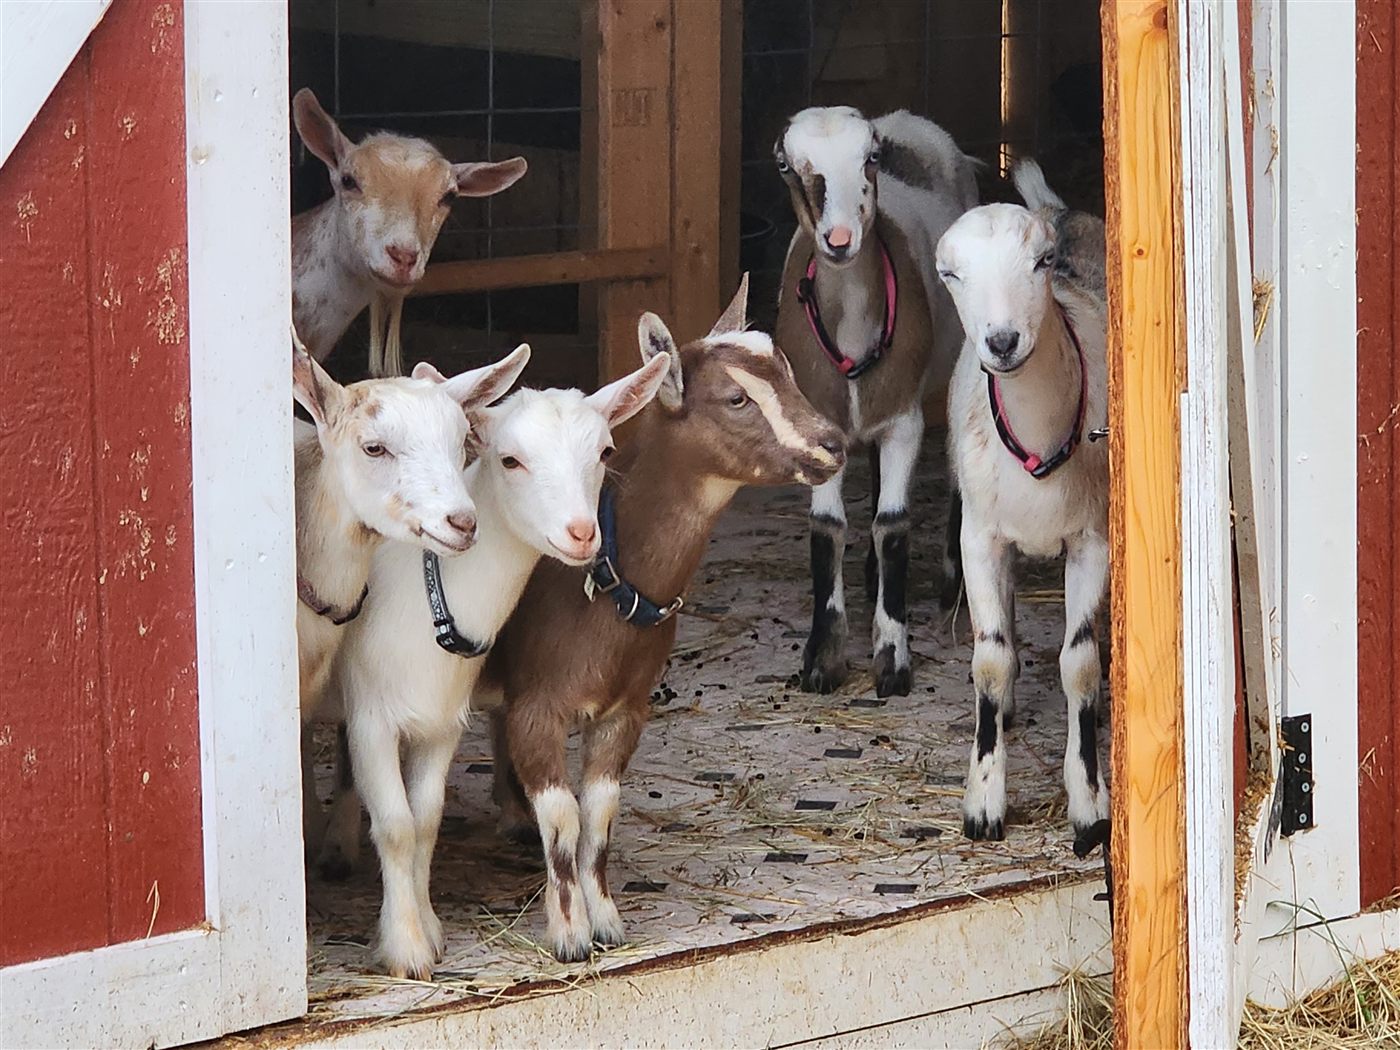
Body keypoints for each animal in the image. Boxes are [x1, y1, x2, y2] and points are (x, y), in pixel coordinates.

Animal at [329, 356, 670, 980]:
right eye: (510, 460)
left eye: (605, 451)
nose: (582, 532)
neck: (424, 590)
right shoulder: (371, 717)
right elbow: (394, 825)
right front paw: (407, 949)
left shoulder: (440, 721)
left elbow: (426, 820)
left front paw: (429, 929)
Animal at [480, 278, 846, 961]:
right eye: (735, 398)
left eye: (787, 370)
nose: (832, 444)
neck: (606, 586)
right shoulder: (537, 705)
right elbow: (563, 819)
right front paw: (569, 936)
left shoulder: (627, 708)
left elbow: (599, 812)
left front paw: (606, 920)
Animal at [773, 106, 977, 698]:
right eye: (785, 164)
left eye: (871, 158)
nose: (839, 239)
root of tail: (906, 119)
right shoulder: (818, 421)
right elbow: (827, 530)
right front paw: (823, 657)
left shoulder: (904, 420)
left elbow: (893, 525)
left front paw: (892, 655)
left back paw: (952, 581)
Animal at [935, 201, 1109, 845]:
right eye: (949, 274)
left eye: (1042, 260)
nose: (1003, 341)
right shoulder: (978, 540)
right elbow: (989, 659)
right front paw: (984, 802)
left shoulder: (1092, 541)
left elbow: (1079, 667)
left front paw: (1090, 806)